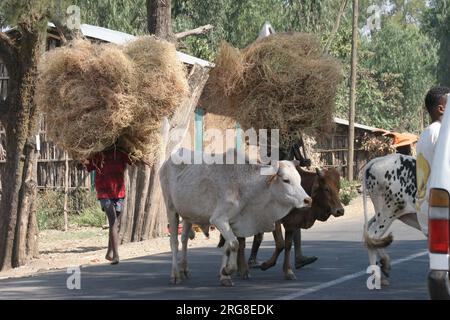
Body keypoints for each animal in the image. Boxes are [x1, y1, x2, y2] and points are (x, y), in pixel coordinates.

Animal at [160, 149, 312, 286]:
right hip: (171, 210)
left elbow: (228, 248)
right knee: (174, 242)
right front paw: (228, 270)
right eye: (286, 180)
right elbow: (235, 244)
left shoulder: (232, 222)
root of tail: (167, 161)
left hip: (188, 216)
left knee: (184, 239)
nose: (308, 200)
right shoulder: (219, 220)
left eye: (299, 180)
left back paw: (184, 270)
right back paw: (175, 275)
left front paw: (224, 276)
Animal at [362, 152, 422, 284]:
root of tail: (377, 160)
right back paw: (378, 275)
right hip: (388, 213)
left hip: (384, 214)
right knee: (372, 235)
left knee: (368, 233)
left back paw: (384, 266)